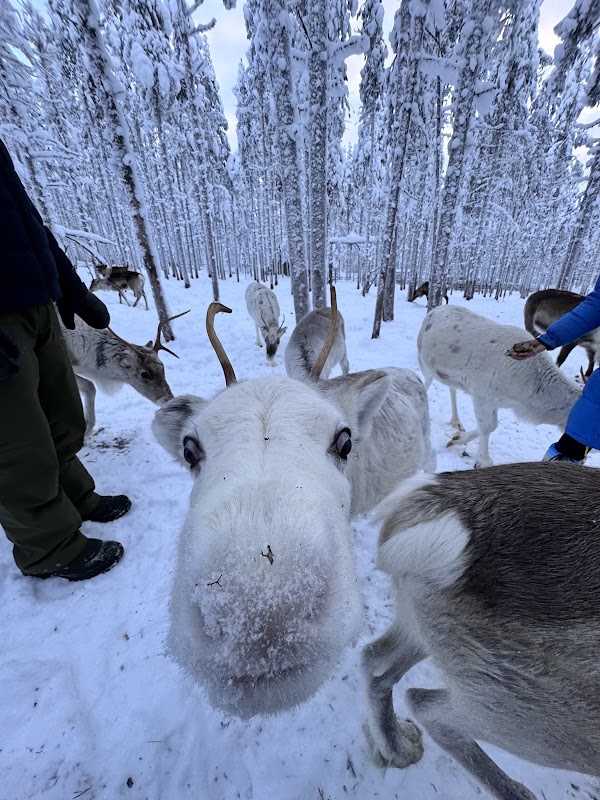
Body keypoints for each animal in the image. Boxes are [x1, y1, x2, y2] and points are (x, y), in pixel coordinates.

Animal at [417, 305, 581, 467]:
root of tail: (435, 310)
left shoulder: (496, 401)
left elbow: (493, 425)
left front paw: (458, 438)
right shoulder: (481, 395)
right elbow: (486, 427)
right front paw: (483, 460)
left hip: (448, 374)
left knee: (452, 387)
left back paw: (456, 422)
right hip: (424, 360)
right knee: (427, 381)